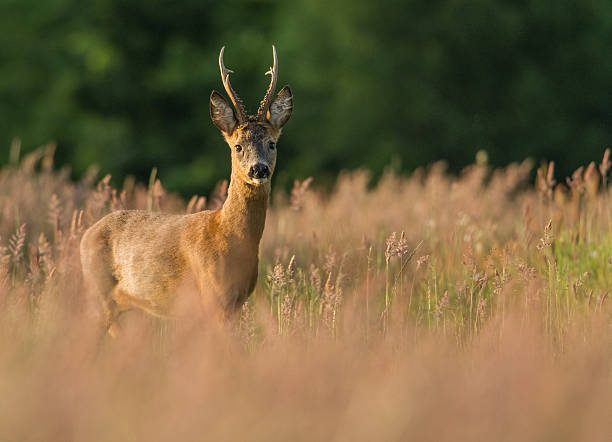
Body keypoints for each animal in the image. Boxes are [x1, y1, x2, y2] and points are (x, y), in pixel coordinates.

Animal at [80, 45, 292, 334]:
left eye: (272, 143)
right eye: (237, 146)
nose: (258, 170)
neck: (229, 236)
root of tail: (85, 236)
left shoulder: (236, 302)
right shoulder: (212, 295)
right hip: (98, 293)